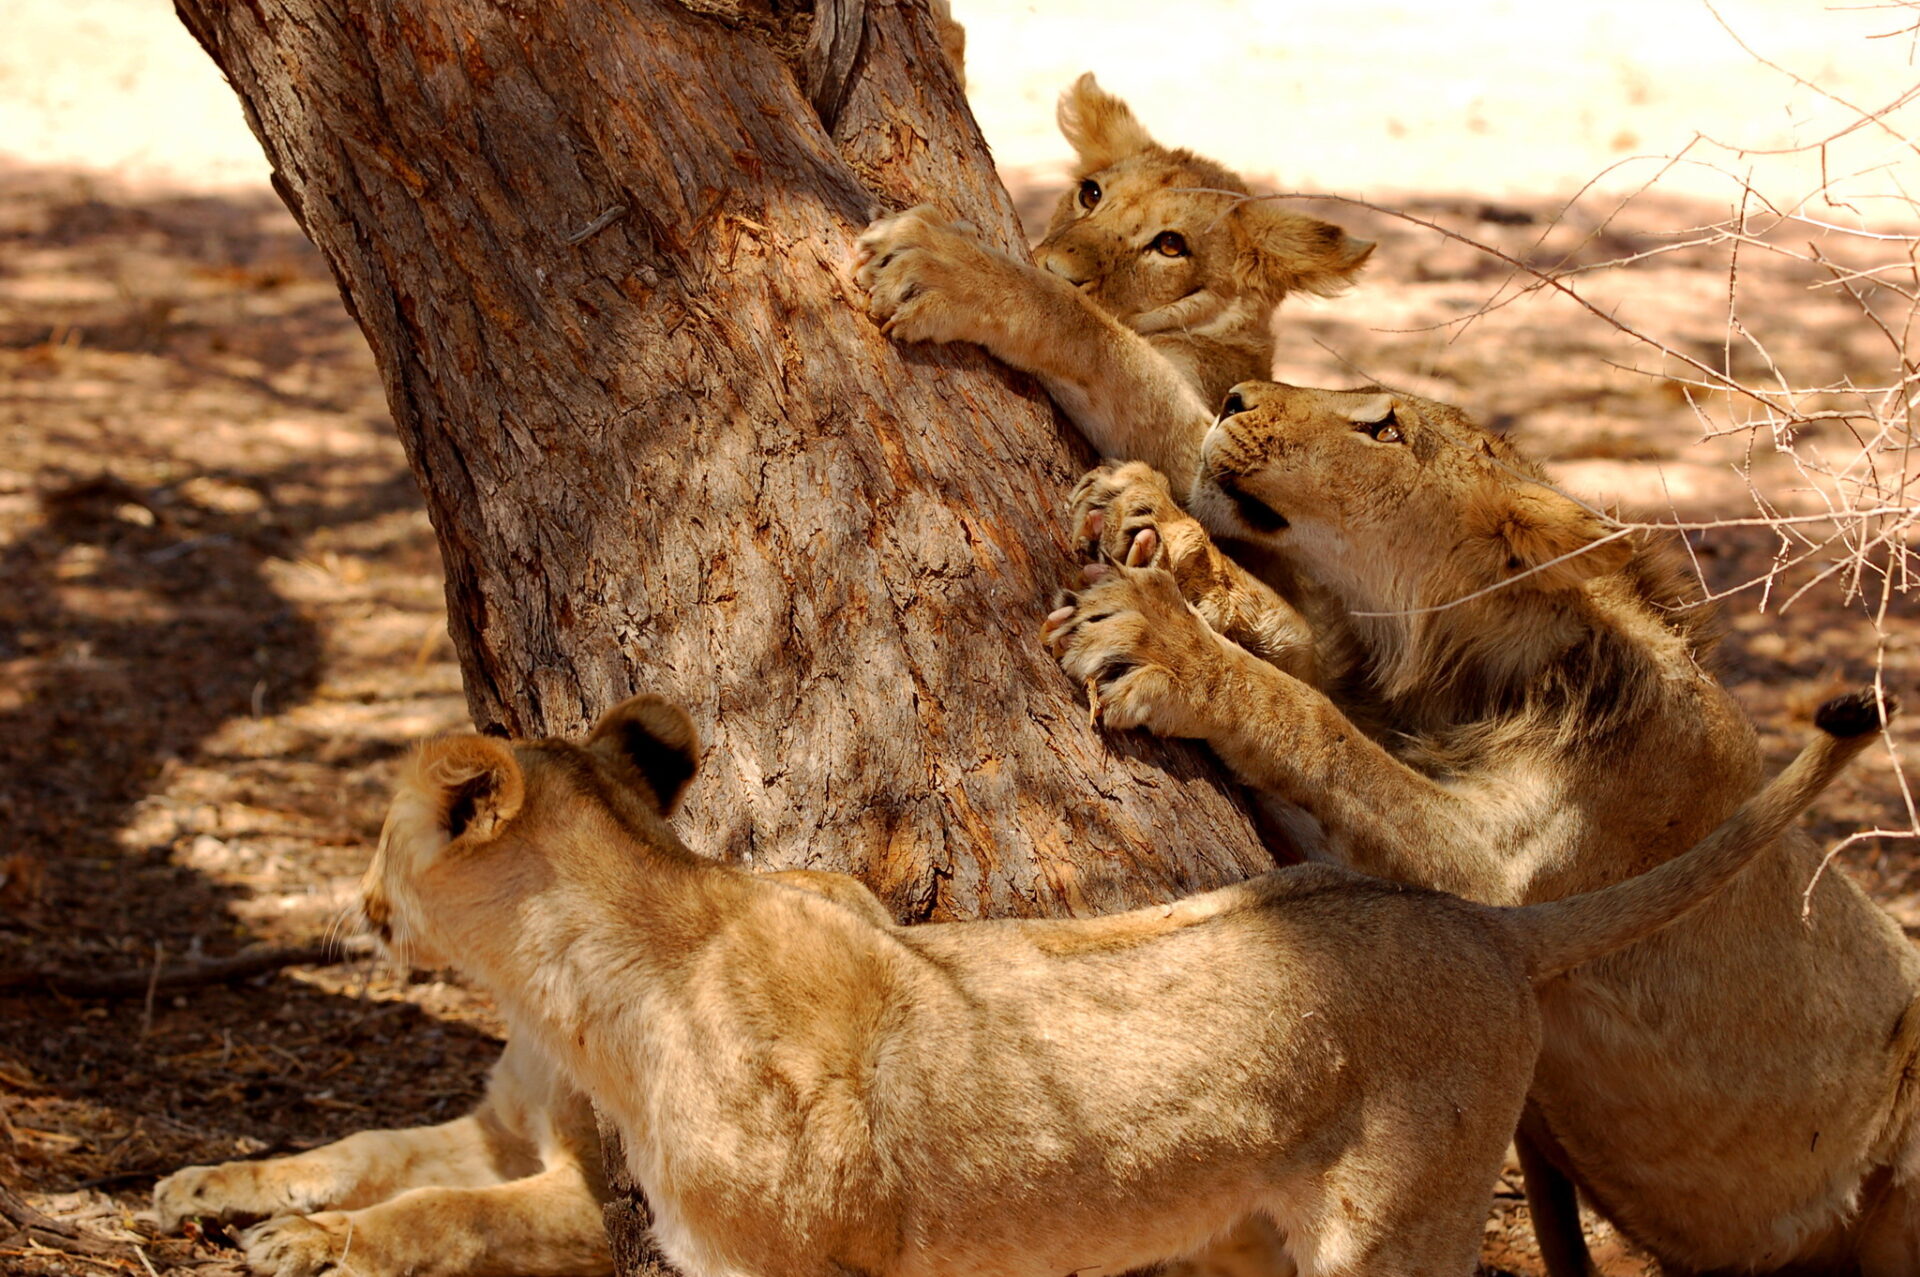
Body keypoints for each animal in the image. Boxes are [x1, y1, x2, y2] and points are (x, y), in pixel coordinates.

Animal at [190, 685, 1878, 1277]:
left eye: (383, 824)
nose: (355, 896)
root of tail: (1485, 924)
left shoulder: (780, 1268)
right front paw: (217, 1190)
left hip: (1390, 1230)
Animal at [853, 74, 1372, 485]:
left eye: (1170, 246)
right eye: (1091, 194)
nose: (1056, 269)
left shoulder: (1206, 455)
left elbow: (1096, 338)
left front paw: (946, 266)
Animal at [1043, 379, 1920, 1276]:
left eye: (1384, 429)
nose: (1233, 395)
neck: (1474, 672)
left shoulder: (1495, 879)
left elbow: (1314, 723)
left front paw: (1168, 646)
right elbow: (1300, 657)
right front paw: (1145, 514)